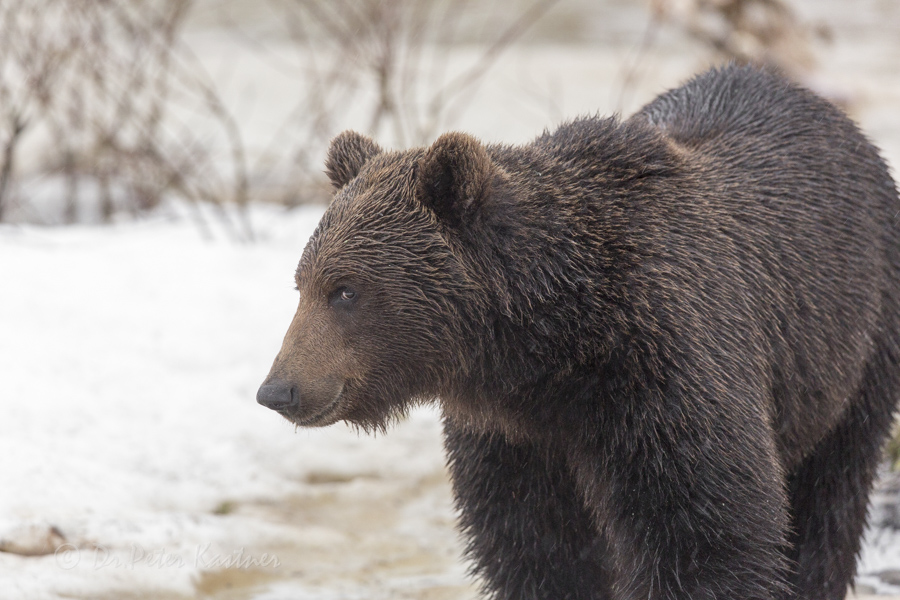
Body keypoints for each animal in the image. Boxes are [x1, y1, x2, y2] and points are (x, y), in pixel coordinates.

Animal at [255, 65, 900, 600]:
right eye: (302, 282)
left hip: (855, 341)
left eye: (346, 290)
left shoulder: (666, 370)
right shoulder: (514, 437)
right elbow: (536, 547)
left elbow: (704, 530)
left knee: (830, 500)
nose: (278, 389)